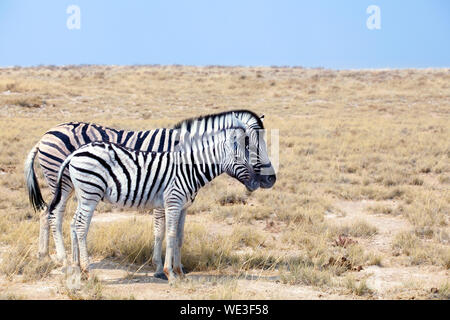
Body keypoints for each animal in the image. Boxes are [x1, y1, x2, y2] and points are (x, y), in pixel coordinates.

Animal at [25, 109, 278, 278]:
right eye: (253, 146)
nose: (269, 180)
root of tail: (46, 135)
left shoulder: (179, 202)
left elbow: (178, 235)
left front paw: (178, 268)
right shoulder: (164, 196)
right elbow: (161, 231)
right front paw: (160, 268)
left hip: (71, 187)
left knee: (50, 214)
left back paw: (50, 257)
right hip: (64, 182)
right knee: (57, 216)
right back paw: (67, 261)